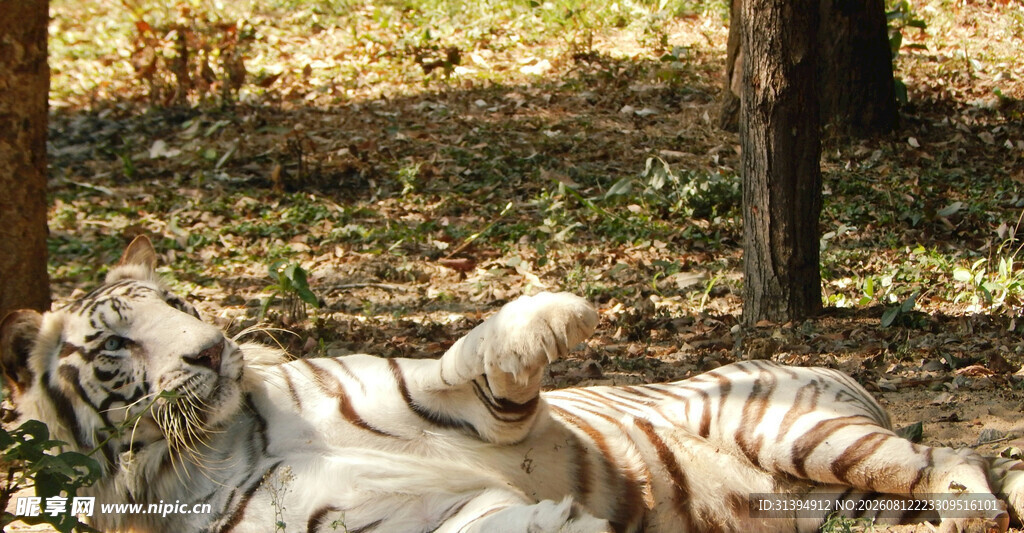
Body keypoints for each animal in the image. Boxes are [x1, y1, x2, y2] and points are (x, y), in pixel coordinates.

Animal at [2, 234, 1024, 533]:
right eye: (116, 342)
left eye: (177, 299)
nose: (214, 352)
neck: (224, 438)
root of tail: (848, 372)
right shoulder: (377, 525)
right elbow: (490, 521)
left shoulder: (457, 404)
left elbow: (472, 359)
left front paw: (555, 312)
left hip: (795, 430)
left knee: (955, 455)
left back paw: (974, 505)